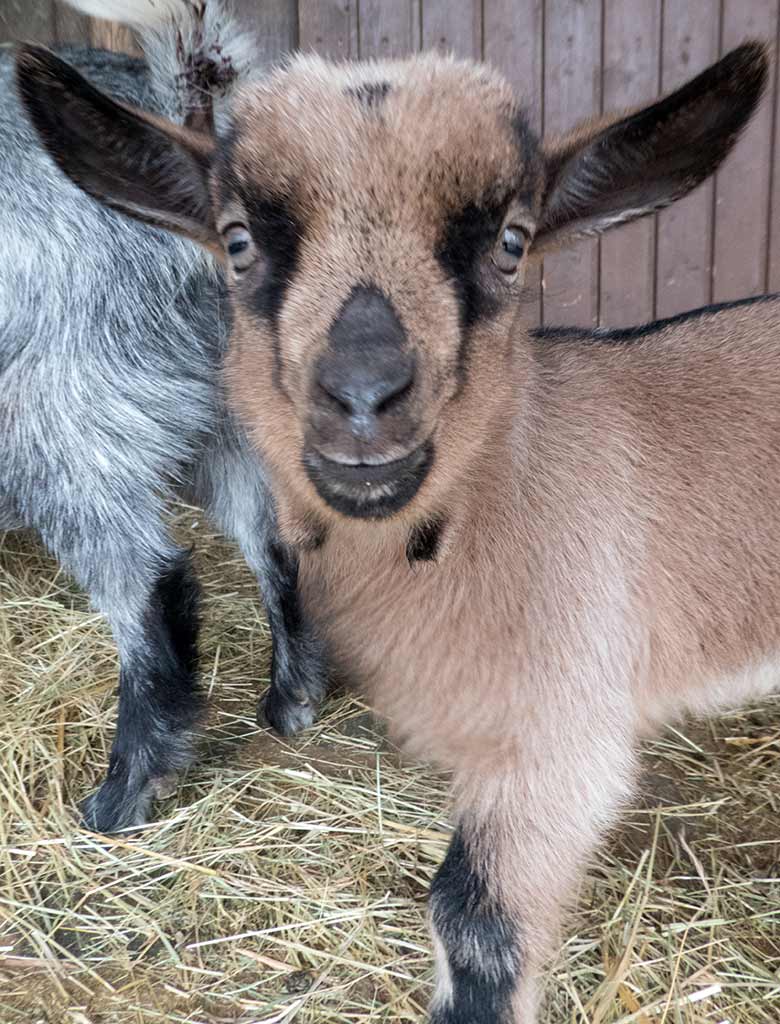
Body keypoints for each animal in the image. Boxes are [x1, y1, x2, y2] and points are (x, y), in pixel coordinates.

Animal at [0, 0, 321, 831]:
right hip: (230, 399)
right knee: (273, 535)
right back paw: (293, 692)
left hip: (59, 399)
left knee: (146, 580)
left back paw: (131, 781)